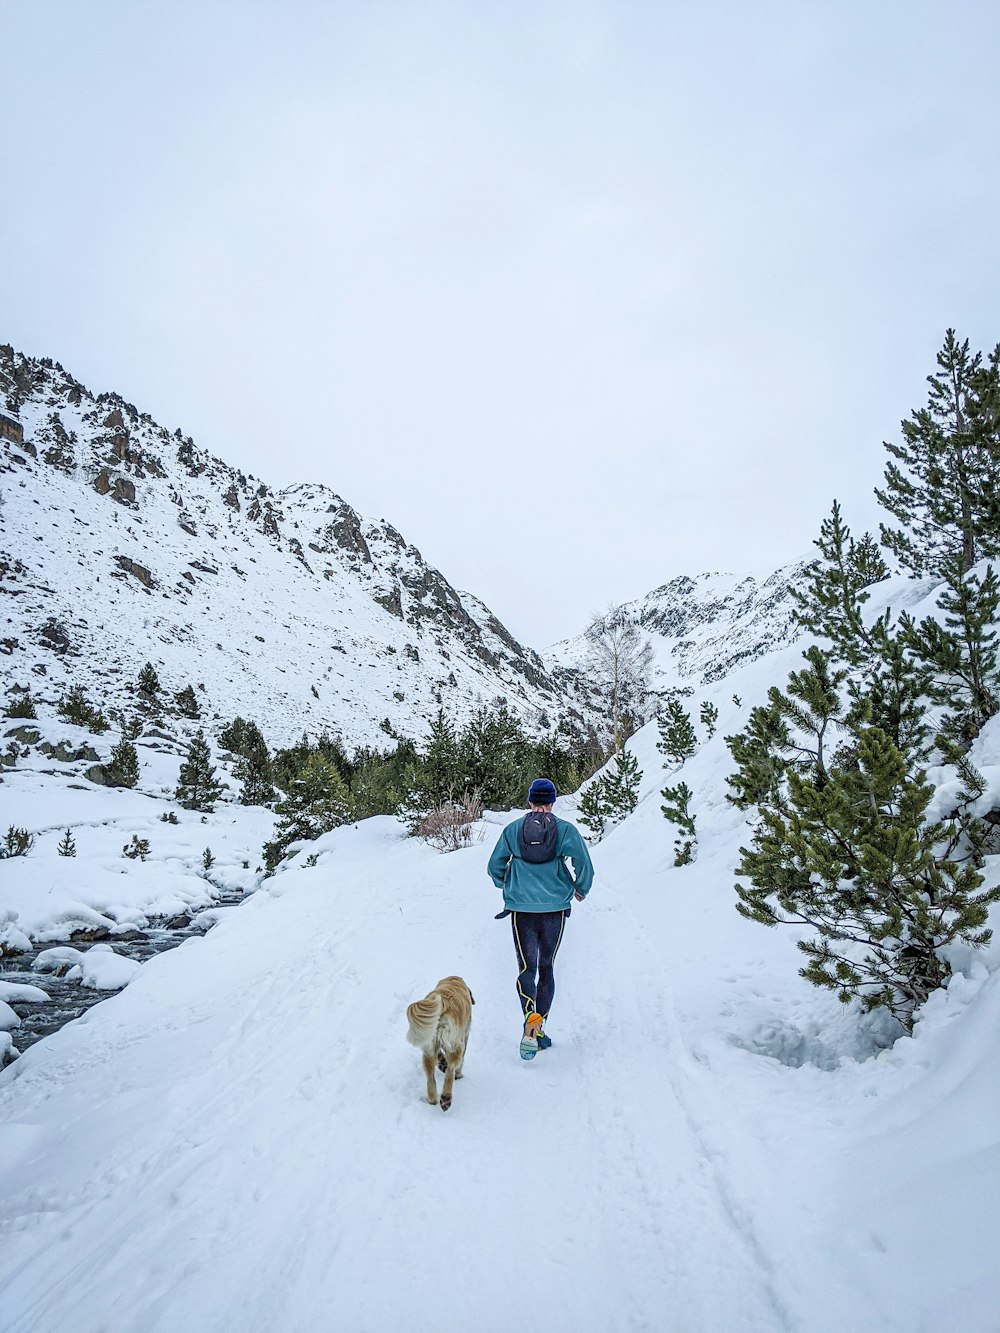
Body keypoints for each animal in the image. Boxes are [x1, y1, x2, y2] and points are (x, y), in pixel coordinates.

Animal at [405, 975, 474, 1109]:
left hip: (429, 1043)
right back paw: (446, 1097)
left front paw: (442, 1062)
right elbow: (460, 1062)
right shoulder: (465, 1035)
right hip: (456, 1044)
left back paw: (432, 1099)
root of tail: (443, 1002)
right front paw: (458, 1074)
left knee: (430, 1077)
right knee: (450, 1070)